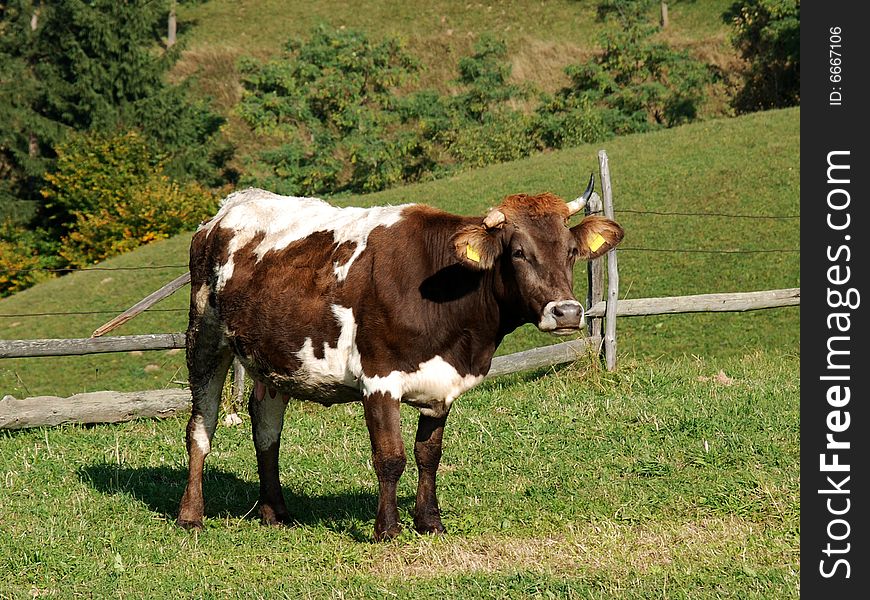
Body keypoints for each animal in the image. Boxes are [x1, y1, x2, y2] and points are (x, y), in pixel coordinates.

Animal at [179, 173, 628, 540]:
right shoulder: (379, 378)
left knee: (267, 426)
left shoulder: (442, 384)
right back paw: (191, 515)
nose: (567, 312)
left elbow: (428, 455)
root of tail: (232, 205)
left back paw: (275, 512)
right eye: (517, 251)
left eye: (570, 250)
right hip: (204, 338)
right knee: (201, 426)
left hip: (277, 359)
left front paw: (430, 522)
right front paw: (387, 529)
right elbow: (390, 458)